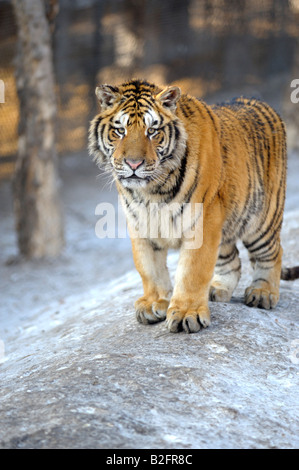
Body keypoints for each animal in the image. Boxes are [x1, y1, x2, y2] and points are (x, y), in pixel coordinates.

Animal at [88, 79, 299, 332]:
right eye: (120, 131)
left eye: (152, 131)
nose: (133, 164)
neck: (152, 191)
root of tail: (260, 102)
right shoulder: (140, 223)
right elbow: (149, 268)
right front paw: (154, 303)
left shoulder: (203, 220)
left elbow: (193, 270)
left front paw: (187, 313)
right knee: (232, 260)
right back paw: (218, 289)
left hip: (260, 221)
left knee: (273, 252)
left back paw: (262, 293)